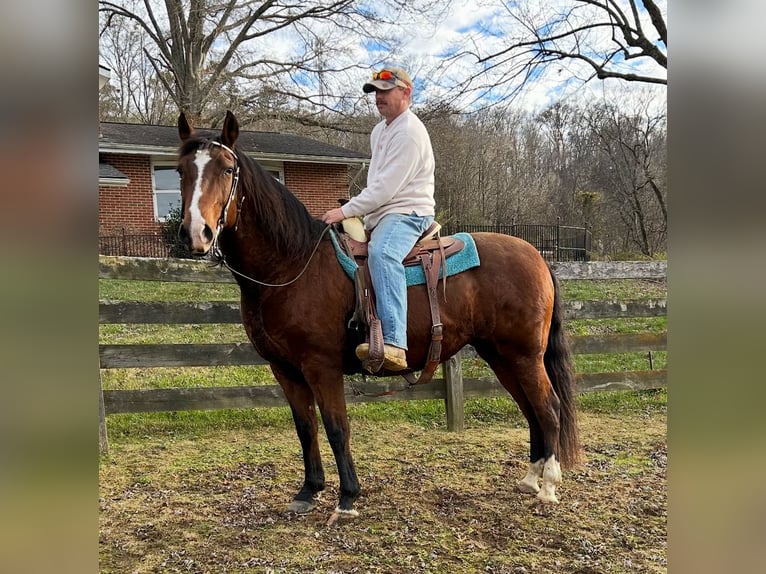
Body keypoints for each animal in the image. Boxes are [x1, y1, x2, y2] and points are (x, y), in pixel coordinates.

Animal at [176, 110, 580, 518]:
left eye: (227, 169)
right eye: (180, 170)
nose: (197, 233)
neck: (291, 264)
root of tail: (538, 257)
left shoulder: (321, 366)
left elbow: (336, 427)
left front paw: (347, 497)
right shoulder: (284, 368)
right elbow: (305, 427)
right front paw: (309, 490)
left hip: (525, 355)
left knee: (548, 408)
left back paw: (548, 485)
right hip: (500, 355)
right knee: (529, 408)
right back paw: (531, 478)